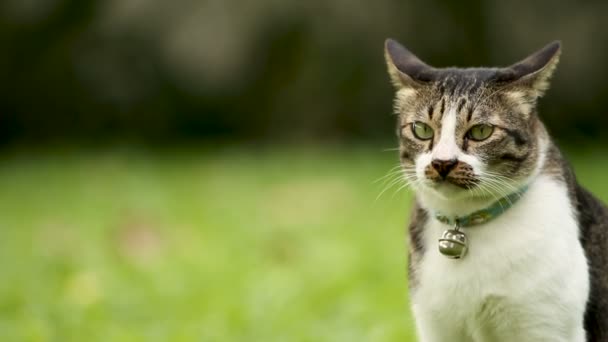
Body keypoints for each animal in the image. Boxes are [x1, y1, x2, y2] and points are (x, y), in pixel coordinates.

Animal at [384, 38, 608, 340]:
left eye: (481, 132)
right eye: (421, 130)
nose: (442, 162)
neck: (470, 222)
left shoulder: (549, 327)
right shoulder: (437, 327)